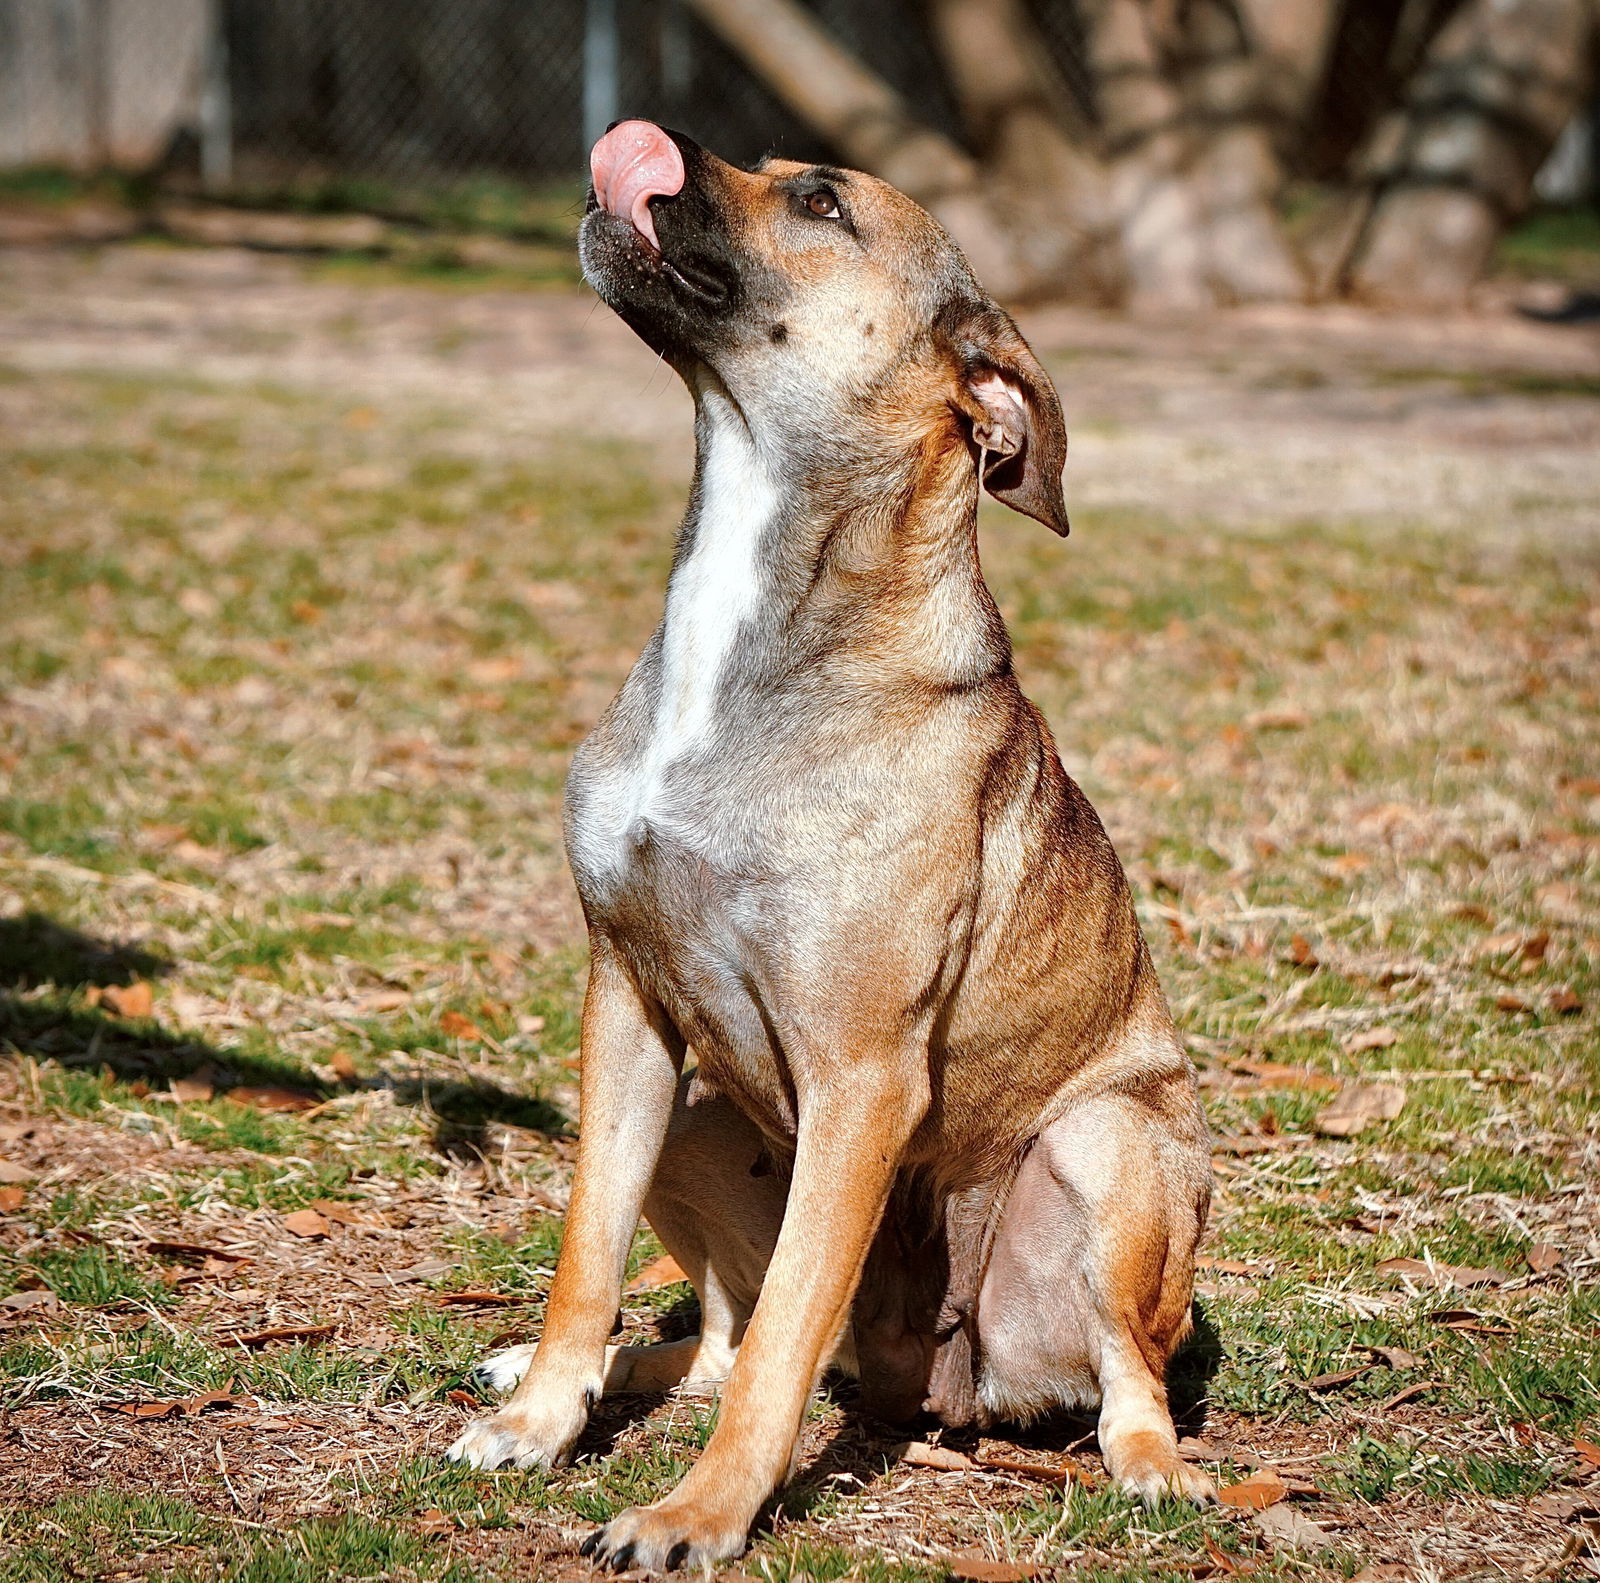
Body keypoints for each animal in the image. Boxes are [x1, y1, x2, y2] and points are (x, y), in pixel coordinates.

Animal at [444, 120, 1203, 1568]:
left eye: (821, 201)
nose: (645, 143)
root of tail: (936, 1381)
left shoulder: (861, 1077)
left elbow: (784, 1337)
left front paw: (696, 1514)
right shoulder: (625, 1002)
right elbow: (589, 1257)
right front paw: (539, 1420)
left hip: (1107, 1146)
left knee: (1119, 1369)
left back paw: (1156, 1466)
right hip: (697, 1117)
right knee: (713, 1335)